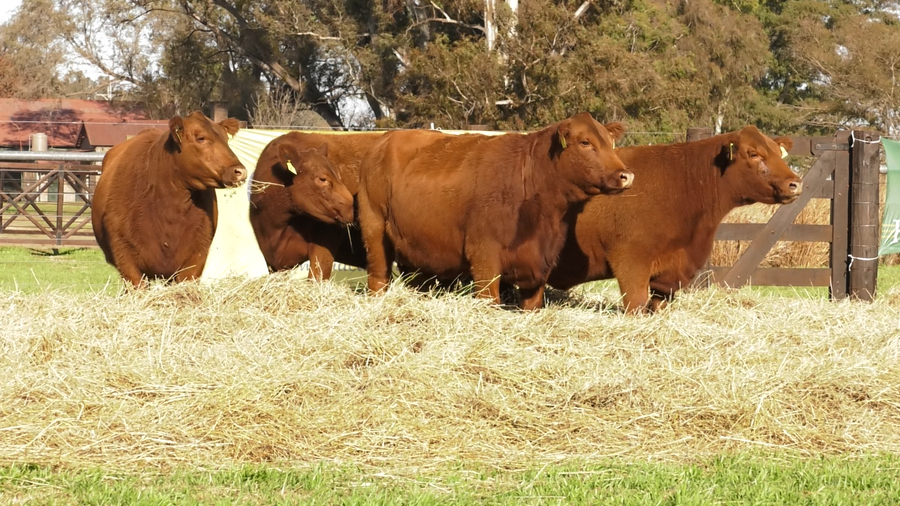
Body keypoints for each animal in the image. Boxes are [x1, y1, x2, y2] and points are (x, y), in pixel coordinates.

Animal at [357, 112, 634, 310]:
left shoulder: (539, 266)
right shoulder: (483, 257)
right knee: (378, 277)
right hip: (375, 231)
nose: (626, 175)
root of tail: (384, 140)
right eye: (585, 142)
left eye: (610, 143)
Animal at [546, 125, 801, 313]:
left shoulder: (668, 277)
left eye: (778, 154)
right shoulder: (631, 261)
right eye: (754, 154)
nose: (795, 183)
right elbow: (636, 304)